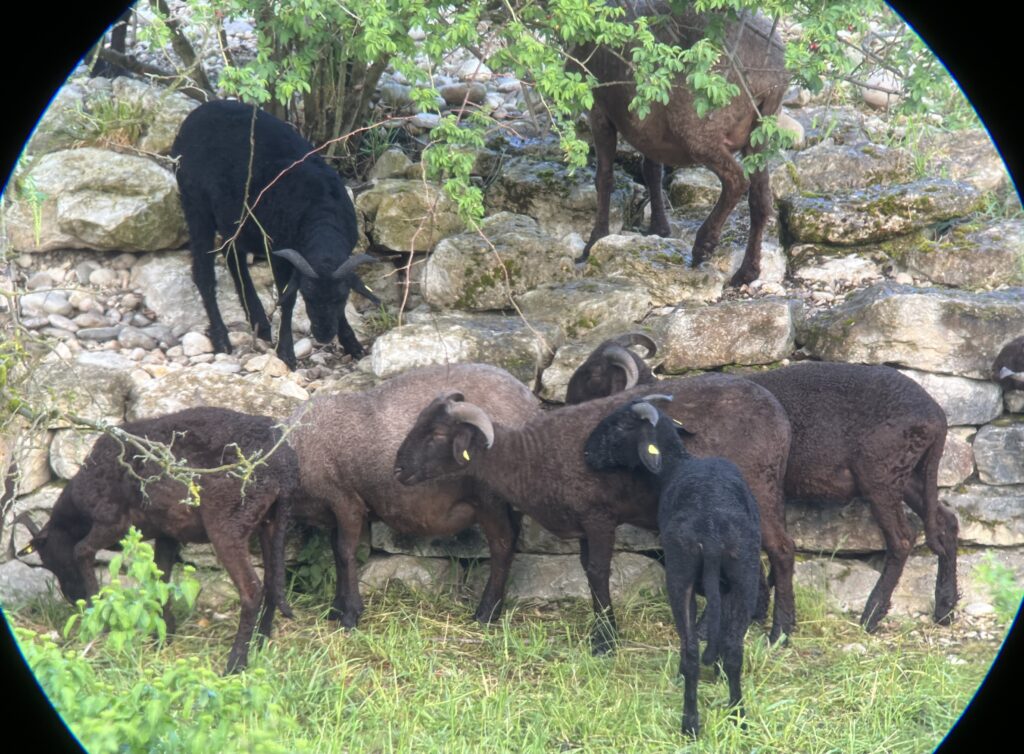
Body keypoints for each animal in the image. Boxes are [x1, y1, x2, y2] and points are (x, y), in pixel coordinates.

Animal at [16, 409, 296, 676]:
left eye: (53, 562)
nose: (73, 598)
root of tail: (282, 465)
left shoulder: (113, 522)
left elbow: (81, 551)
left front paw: (99, 617)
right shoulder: (167, 533)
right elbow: (161, 576)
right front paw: (164, 634)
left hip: (228, 521)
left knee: (251, 589)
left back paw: (235, 664)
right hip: (269, 521)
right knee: (272, 582)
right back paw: (260, 643)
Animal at [172, 98, 380, 368]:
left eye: (341, 298)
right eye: (307, 295)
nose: (323, 335)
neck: (320, 210)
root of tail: (195, 115)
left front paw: (352, 343)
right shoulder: (280, 255)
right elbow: (287, 300)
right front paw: (286, 353)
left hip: (234, 219)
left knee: (233, 258)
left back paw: (259, 322)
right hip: (196, 204)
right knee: (203, 273)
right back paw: (222, 337)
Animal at [577, 3, 790, 284]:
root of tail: (772, 78)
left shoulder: (599, 108)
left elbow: (604, 177)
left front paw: (593, 242)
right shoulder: (647, 126)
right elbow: (651, 170)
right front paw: (658, 228)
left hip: (699, 129)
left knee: (736, 180)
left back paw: (704, 245)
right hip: (760, 132)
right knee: (761, 199)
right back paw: (747, 271)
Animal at [585, 395, 761, 737]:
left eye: (620, 425)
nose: (586, 453)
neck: (677, 463)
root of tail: (711, 530)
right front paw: (717, 670)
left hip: (681, 573)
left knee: (691, 650)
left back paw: (691, 723)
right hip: (744, 573)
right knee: (733, 649)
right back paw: (737, 716)